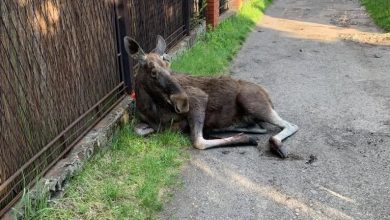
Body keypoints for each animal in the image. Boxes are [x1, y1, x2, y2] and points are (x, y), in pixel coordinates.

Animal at [125, 35, 298, 157]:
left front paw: (245, 140)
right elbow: (138, 130)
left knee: (290, 125)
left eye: (169, 66)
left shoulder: (198, 98)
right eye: (153, 72)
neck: (151, 109)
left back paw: (275, 145)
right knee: (259, 128)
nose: (183, 102)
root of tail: (267, 95)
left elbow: (198, 142)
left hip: (251, 101)